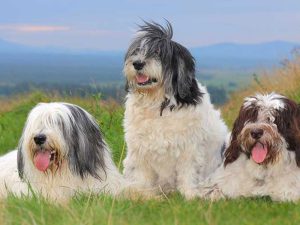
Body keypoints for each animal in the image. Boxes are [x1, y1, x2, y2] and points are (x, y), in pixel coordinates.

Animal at [122, 21, 227, 199]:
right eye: (137, 51)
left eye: (158, 52)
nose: (137, 63)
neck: (158, 104)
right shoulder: (140, 150)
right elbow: (142, 176)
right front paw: (142, 192)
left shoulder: (190, 149)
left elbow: (188, 173)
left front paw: (190, 194)